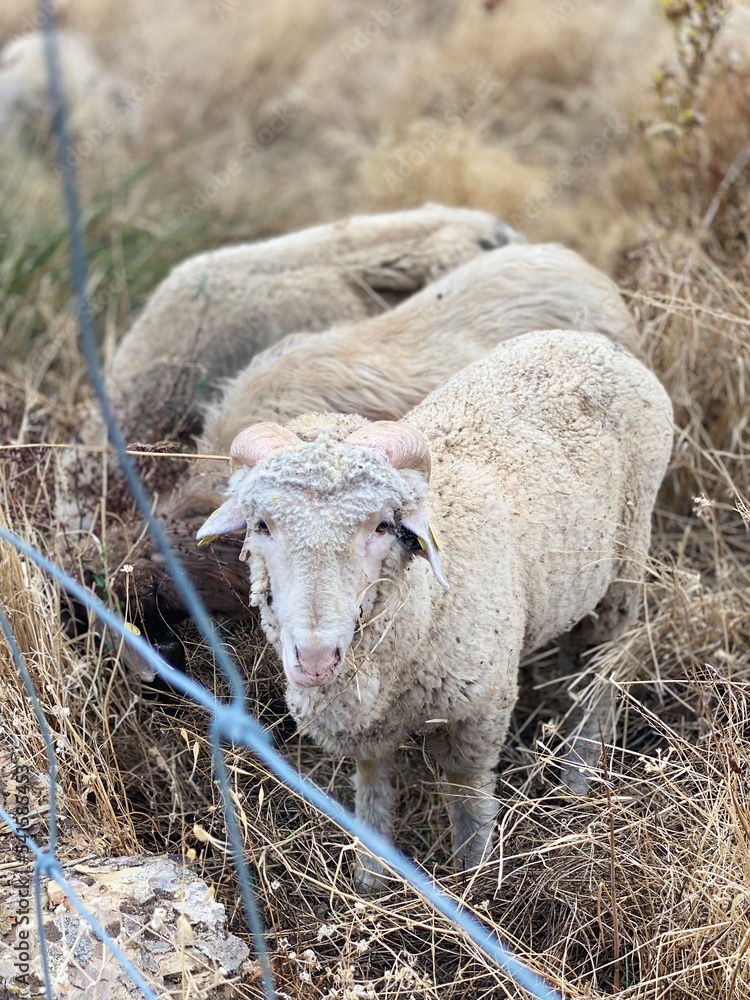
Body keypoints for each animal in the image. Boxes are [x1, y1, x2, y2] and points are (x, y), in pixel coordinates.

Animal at [196, 329, 674, 888]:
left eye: (383, 525)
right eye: (261, 525)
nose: (314, 658)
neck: (421, 611)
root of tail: (592, 340)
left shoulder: (480, 707)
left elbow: (468, 795)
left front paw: (474, 880)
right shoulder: (366, 728)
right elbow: (373, 787)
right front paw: (371, 878)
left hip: (626, 561)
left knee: (602, 667)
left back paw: (580, 771)